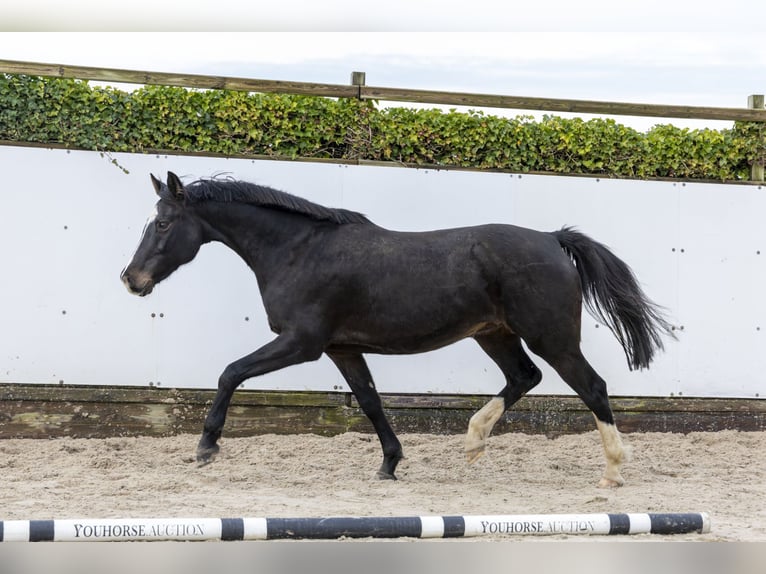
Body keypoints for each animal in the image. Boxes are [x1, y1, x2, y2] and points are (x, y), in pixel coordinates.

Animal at [121, 171, 674, 487]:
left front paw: (206, 448)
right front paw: (390, 464)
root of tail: (552, 238)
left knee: (591, 387)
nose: (132, 279)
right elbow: (369, 400)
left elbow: (231, 372)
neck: (298, 250)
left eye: (164, 223)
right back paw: (473, 443)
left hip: (552, 338)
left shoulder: (301, 343)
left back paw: (613, 471)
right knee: (524, 378)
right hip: (494, 333)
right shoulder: (341, 348)